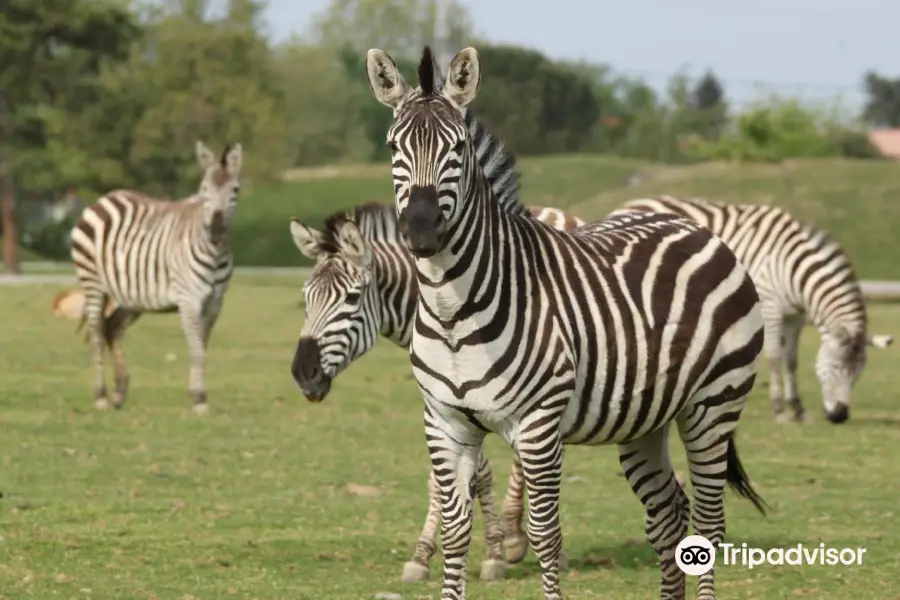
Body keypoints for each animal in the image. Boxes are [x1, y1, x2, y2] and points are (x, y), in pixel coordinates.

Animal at [71, 141, 243, 414]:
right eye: (204, 189)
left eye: (235, 190)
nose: (216, 230)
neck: (215, 252)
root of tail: (106, 197)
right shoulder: (189, 299)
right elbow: (196, 350)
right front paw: (199, 398)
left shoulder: (215, 303)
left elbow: (202, 347)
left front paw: (196, 393)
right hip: (93, 283)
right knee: (97, 333)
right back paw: (100, 396)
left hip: (130, 295)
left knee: (112, 328)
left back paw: (119, 392)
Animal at [356, 45, 768, 600]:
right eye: (393, 146)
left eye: (458, 147)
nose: (421, 230)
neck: (452, 314)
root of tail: (693, 227)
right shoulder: (444, 423)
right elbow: (456, 530)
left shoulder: (538, 424)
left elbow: (544, 534)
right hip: (646, 421)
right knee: (669, 517)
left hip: (714, 405)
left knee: (708, 521)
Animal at [612, 195, 892, 424]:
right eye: (834, 367)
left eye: (859, 372)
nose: (839, 416)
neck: (792, 267)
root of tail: (629, 204)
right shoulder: (770, 307)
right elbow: (775, 356)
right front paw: (779, 409)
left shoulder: (796, 316)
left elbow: (792, 360)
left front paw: (798, 408)